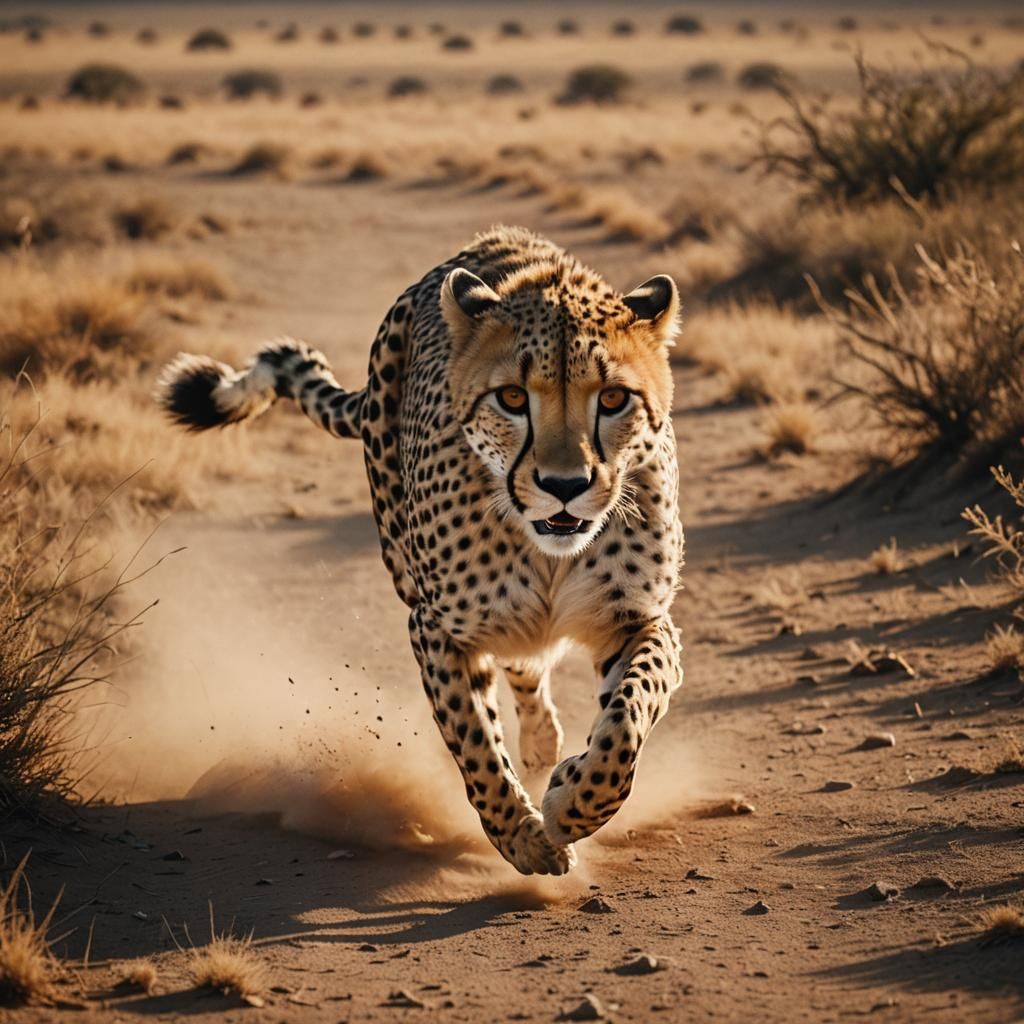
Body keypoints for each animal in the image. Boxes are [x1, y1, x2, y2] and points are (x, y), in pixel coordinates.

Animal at [158, 226, 684, 876]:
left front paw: (570, 805)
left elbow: (628, 719)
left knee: (529, 665)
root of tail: (493, 239)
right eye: (512, 397)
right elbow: (476, 744)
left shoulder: (636, 621)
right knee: (516, 663)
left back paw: (544, 746)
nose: (565, 485)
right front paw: (521, 837)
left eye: (612, 399)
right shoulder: (435, 628)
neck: (547, 548)